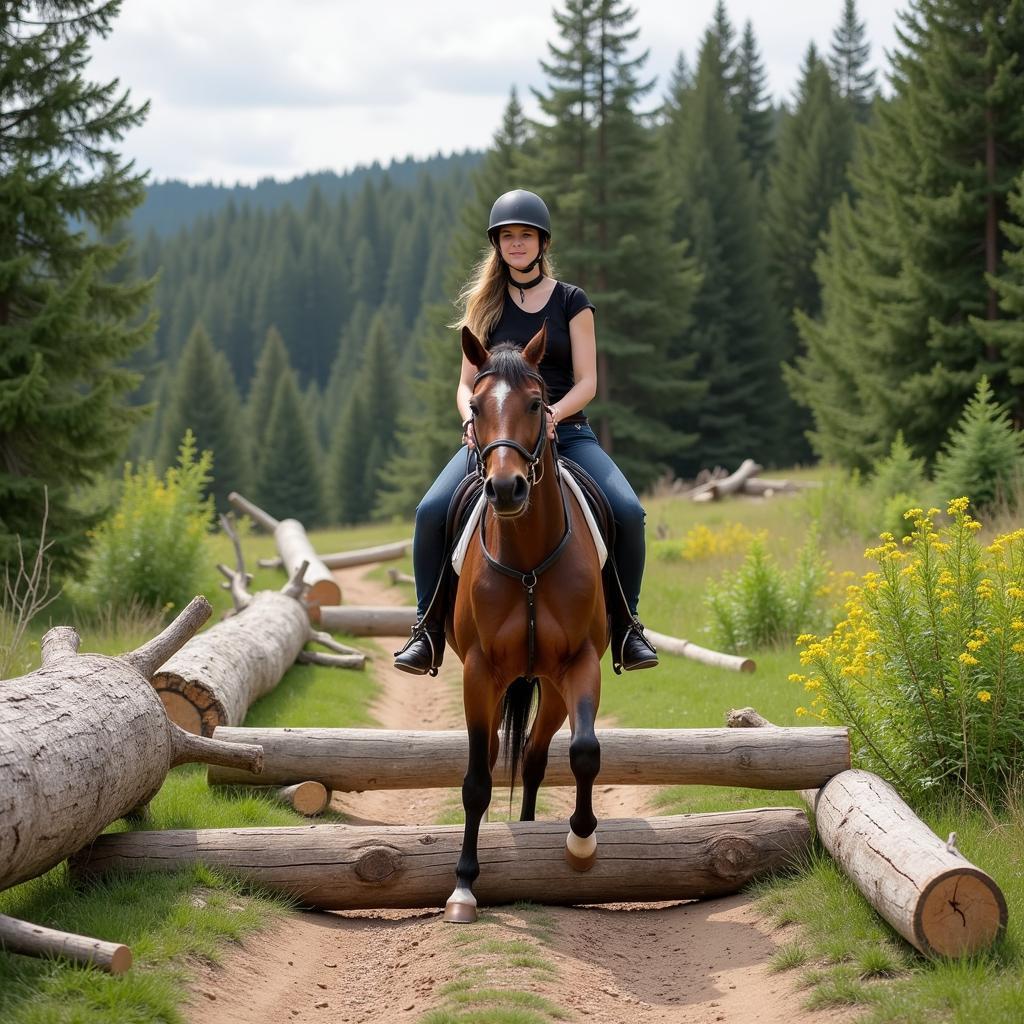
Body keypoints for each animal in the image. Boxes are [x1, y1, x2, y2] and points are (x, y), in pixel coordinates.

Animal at [442, 323, 602, 925]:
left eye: (536, 403)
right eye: (476, 407)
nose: (506, 488)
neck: (530, 558)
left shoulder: (580, 663)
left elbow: (584, 752)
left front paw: (581, 842)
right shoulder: (478, 673)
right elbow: (475, 780)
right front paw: (464, 885)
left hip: (550, 687)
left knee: (534, 757)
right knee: (492, 758)